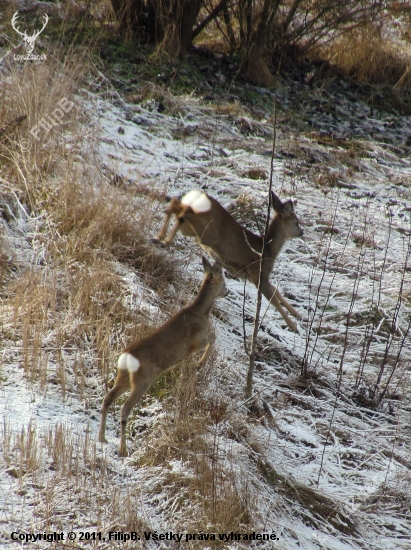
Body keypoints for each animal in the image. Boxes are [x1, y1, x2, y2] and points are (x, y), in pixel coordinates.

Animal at [100, 258, 229, 458]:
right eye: (224, 282)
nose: (227, 291)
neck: (201, 313)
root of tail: (126, 357)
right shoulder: (196, 342)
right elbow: (214, 337)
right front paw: (199, 365)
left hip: (124, 377)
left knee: (108, 398)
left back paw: (102, 438)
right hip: (143, 380)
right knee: (124, 408)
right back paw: (123, 449)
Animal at [153, 191, 304, 332]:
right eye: (296, 222)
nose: (302, 232)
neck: (268, 250)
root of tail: (197, 196)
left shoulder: (257, 277)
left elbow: (277, 292)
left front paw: (297, 314)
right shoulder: (258, 274)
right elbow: (274, 300)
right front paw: (293, 326)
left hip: (190, 229)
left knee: (175, 205)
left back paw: (158, 237)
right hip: (207, 233)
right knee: (184, 213)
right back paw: (164, 240)